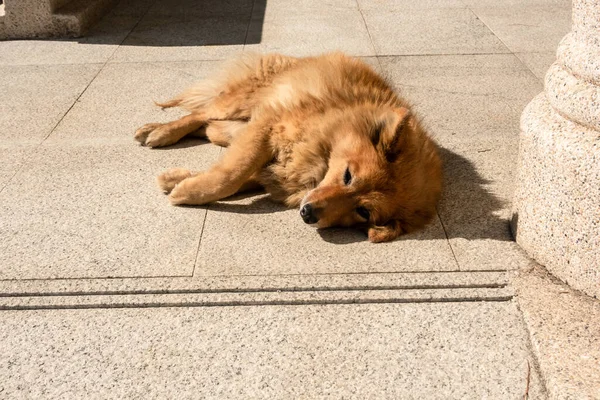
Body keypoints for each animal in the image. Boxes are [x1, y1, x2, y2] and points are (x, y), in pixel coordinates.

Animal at [137, 51, 446, 242]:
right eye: (348, 176)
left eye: (363, 212)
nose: (308, 214)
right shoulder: (270, 125)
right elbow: (232, 174)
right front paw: (185, 191)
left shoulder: (274, 158)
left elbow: (242, 177)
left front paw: (178, 181)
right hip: (242, 103)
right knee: (199, 113)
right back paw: (158, 132)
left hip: (232, 126)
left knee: (210, 126)